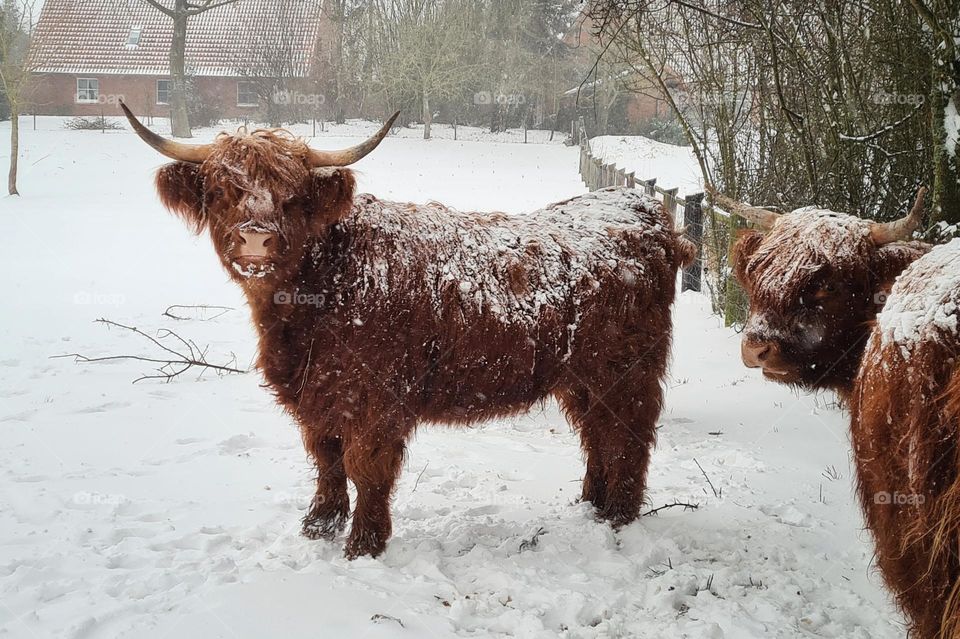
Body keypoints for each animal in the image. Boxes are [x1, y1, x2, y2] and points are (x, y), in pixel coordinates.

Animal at [120, 102, 692, 556]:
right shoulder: (317, 396)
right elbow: (326, 461)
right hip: (579, 378)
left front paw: (363, 544)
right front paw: (318, 525)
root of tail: (641, 208)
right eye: (222, 190)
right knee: (598, 433)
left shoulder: (376, 399)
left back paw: (618, 516)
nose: (256, 240)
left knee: (629, 435)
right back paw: (591, 505)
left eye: (294, 196)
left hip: (626, 371)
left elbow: (365, 468)